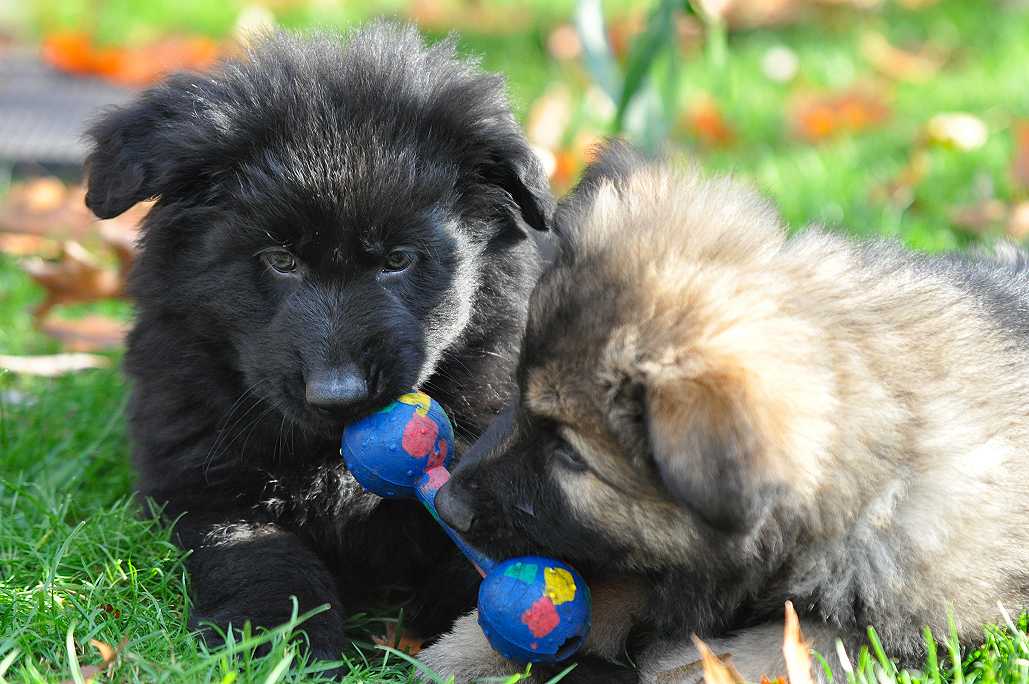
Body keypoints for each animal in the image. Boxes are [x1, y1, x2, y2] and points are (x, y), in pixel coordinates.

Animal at [83, 23, 555, 662]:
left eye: (398, 260)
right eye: (280, 260)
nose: (340, 396)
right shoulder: (200, 486)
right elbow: (258, 554)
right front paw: (282, 641)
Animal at [421, 140, 1029, 682]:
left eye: (570, 454)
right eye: (517, 391)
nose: (447, 506)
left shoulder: (901, 626)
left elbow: (790, 647)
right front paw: (462, 653)